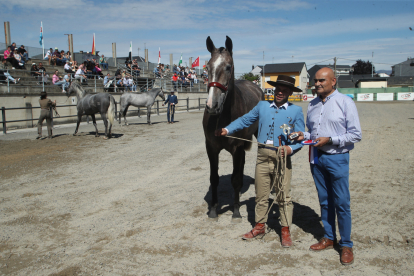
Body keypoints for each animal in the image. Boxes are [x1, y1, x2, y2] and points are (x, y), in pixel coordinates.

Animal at [203, 36, 264, 222]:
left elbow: (235, 180)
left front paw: (236, 211)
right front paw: (214, 210)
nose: (212, 106)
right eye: (207, 67)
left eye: (228, 67)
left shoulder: (237, 148)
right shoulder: (211, 148)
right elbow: (214, 179)